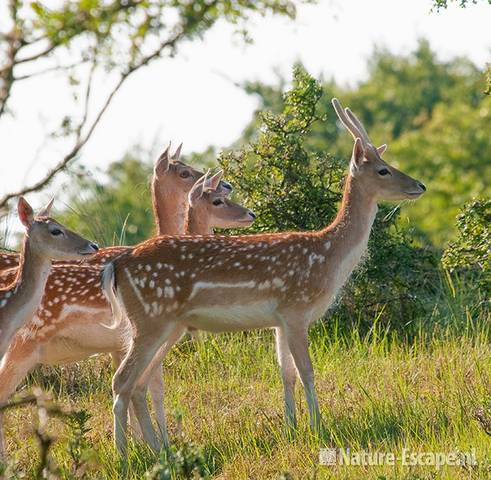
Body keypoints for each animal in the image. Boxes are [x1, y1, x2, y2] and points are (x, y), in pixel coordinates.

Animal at [103, 97, 426, 454]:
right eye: (384, 170)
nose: (420, 185)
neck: (328, 256)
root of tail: (117, 266)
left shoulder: (280, 319)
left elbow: (287, 373)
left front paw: (292, 429)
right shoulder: (296, 308)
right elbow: (307, 371)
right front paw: (319, 429)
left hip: (166, 325)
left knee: (138, 381)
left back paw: (159, 452)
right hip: (151, 319)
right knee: (122, 380)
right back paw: (124, 456)